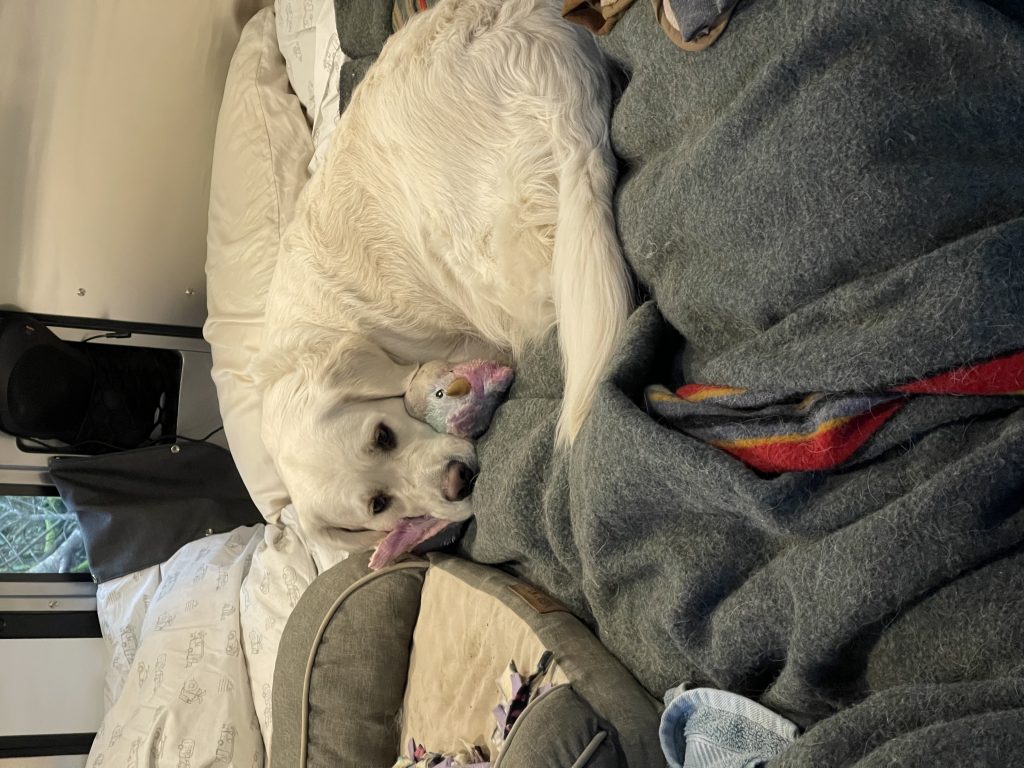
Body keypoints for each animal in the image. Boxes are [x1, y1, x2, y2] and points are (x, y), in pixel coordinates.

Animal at [257, 0, 632, 567]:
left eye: (383, 436)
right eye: (379, 504)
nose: (458, 483)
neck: (303, 351)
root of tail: (539, 55)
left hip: (476, 262)